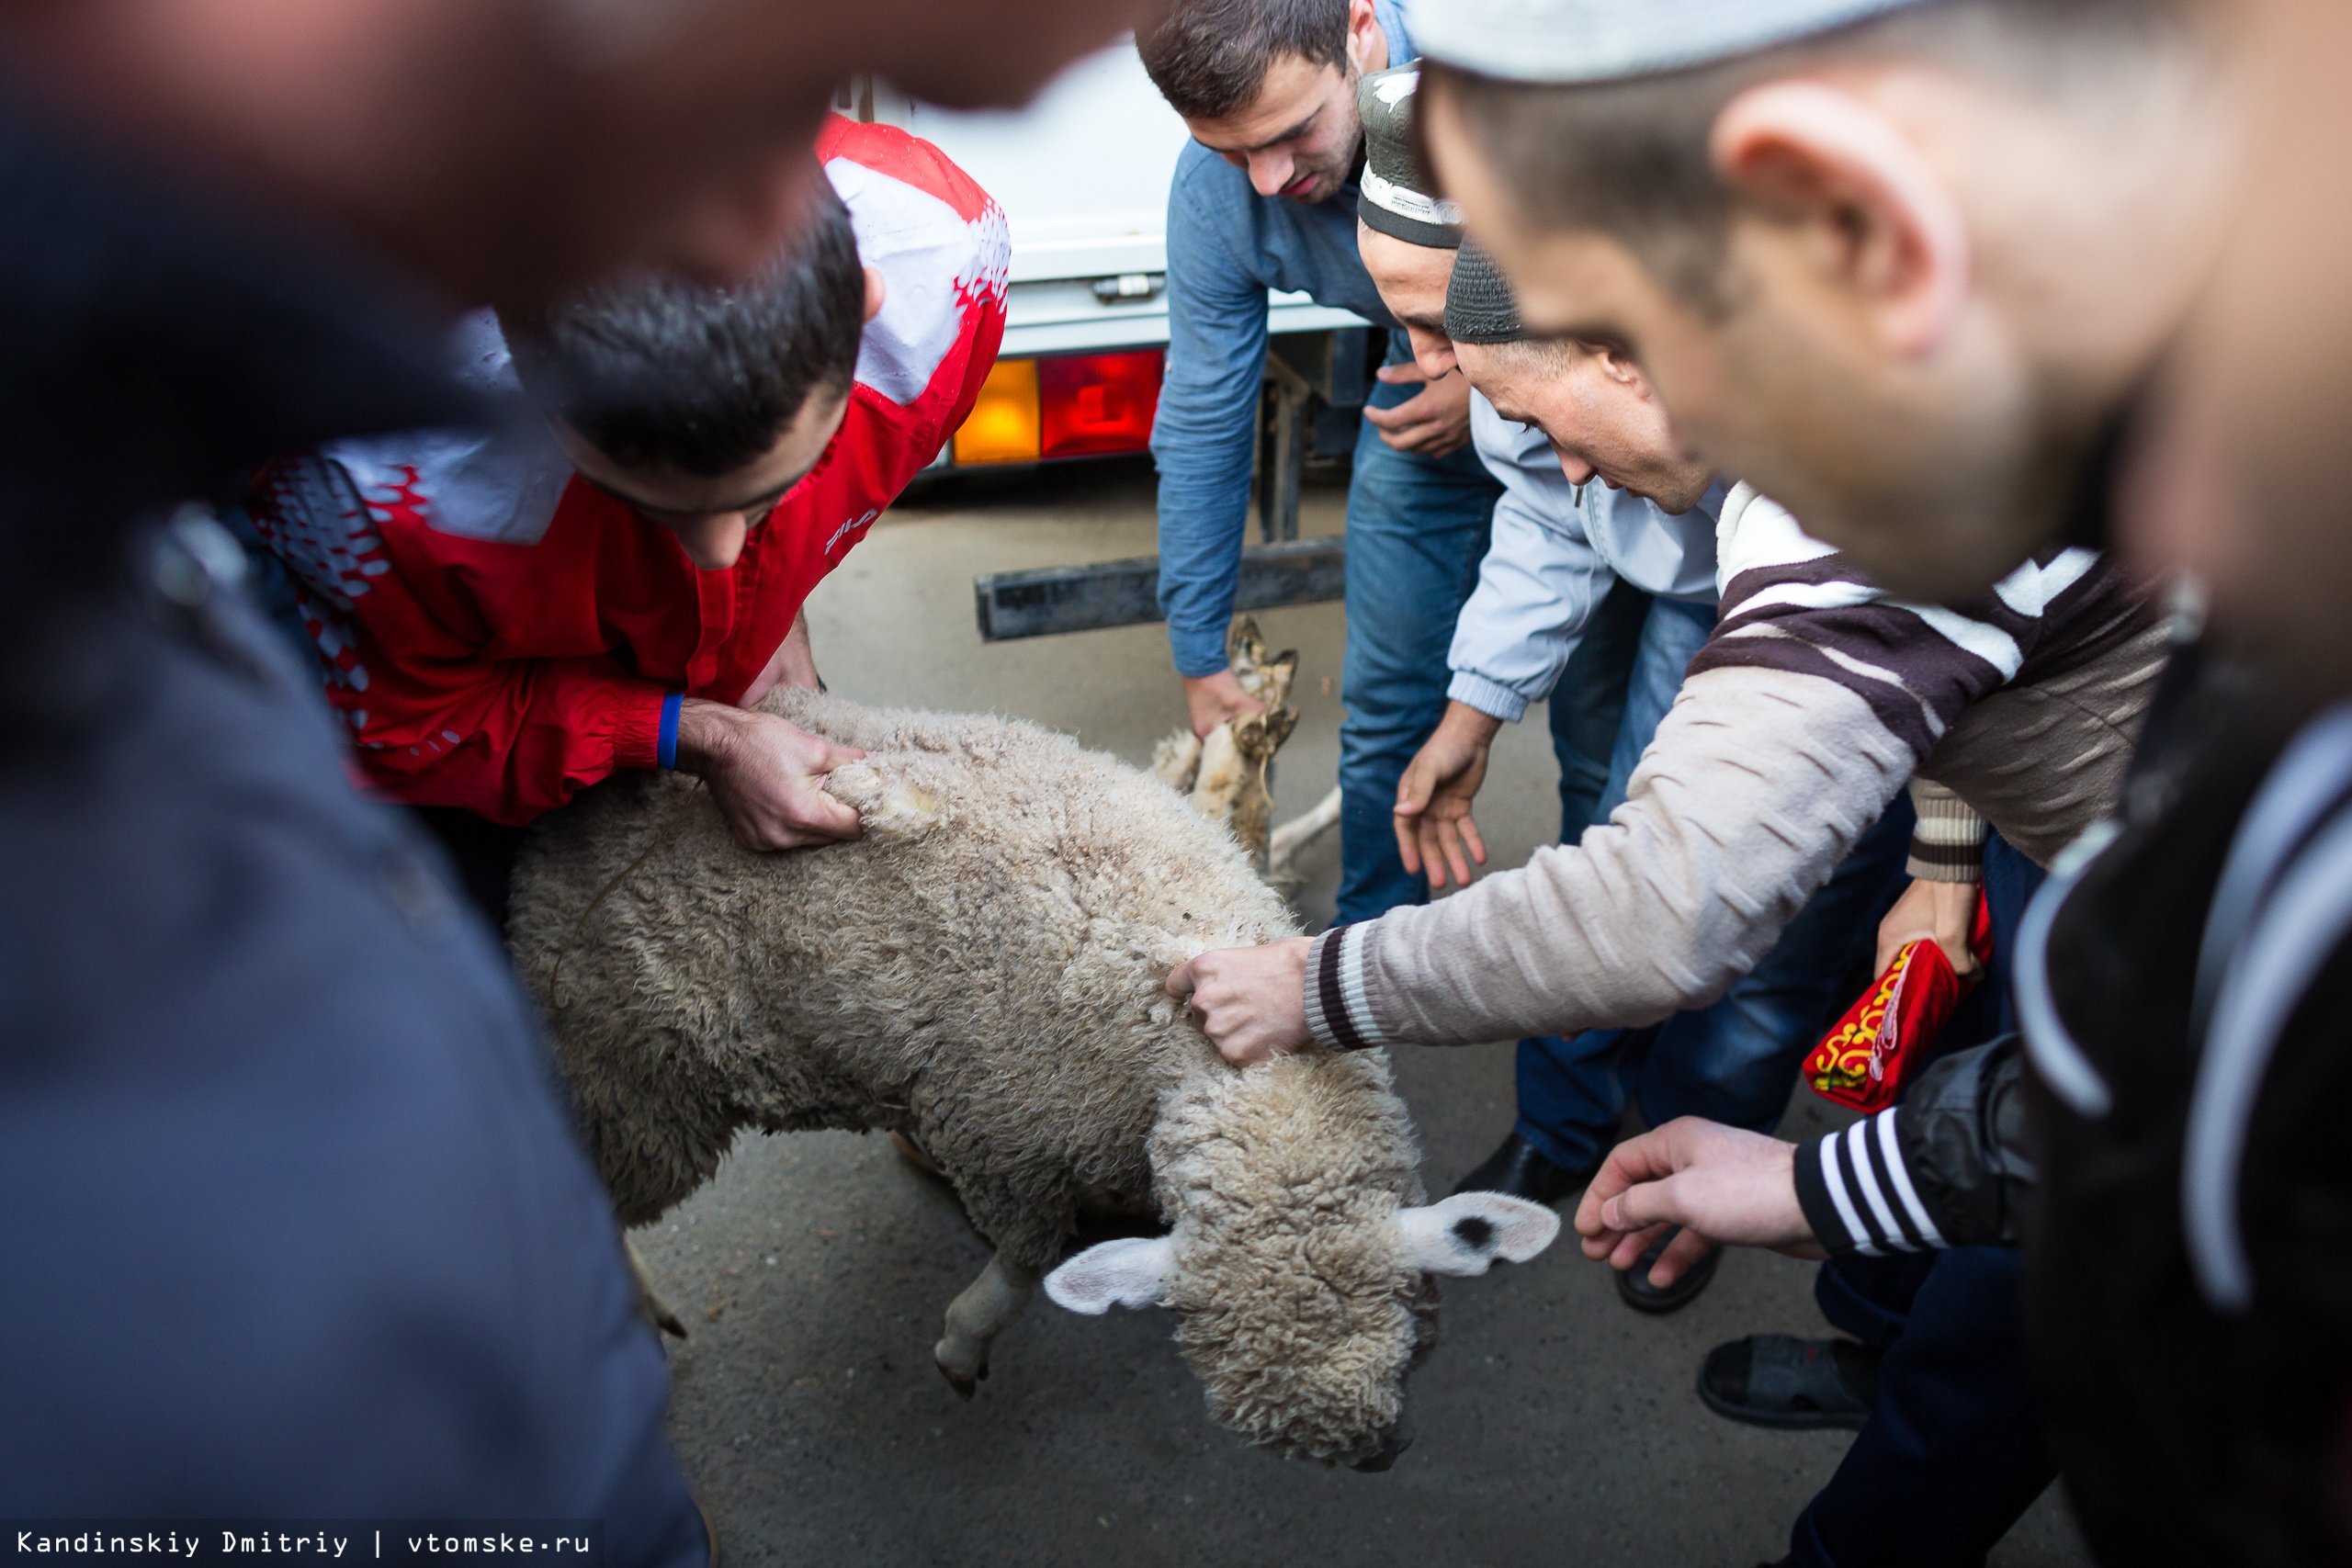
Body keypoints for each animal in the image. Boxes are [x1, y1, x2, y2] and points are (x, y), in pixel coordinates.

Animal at [505, 686, 1552, 1476]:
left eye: (1407, 1346)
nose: (1382, 1454)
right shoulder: (1001, 1132)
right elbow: (1023, 1265)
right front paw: (962, 1346)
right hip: (633, 1082)